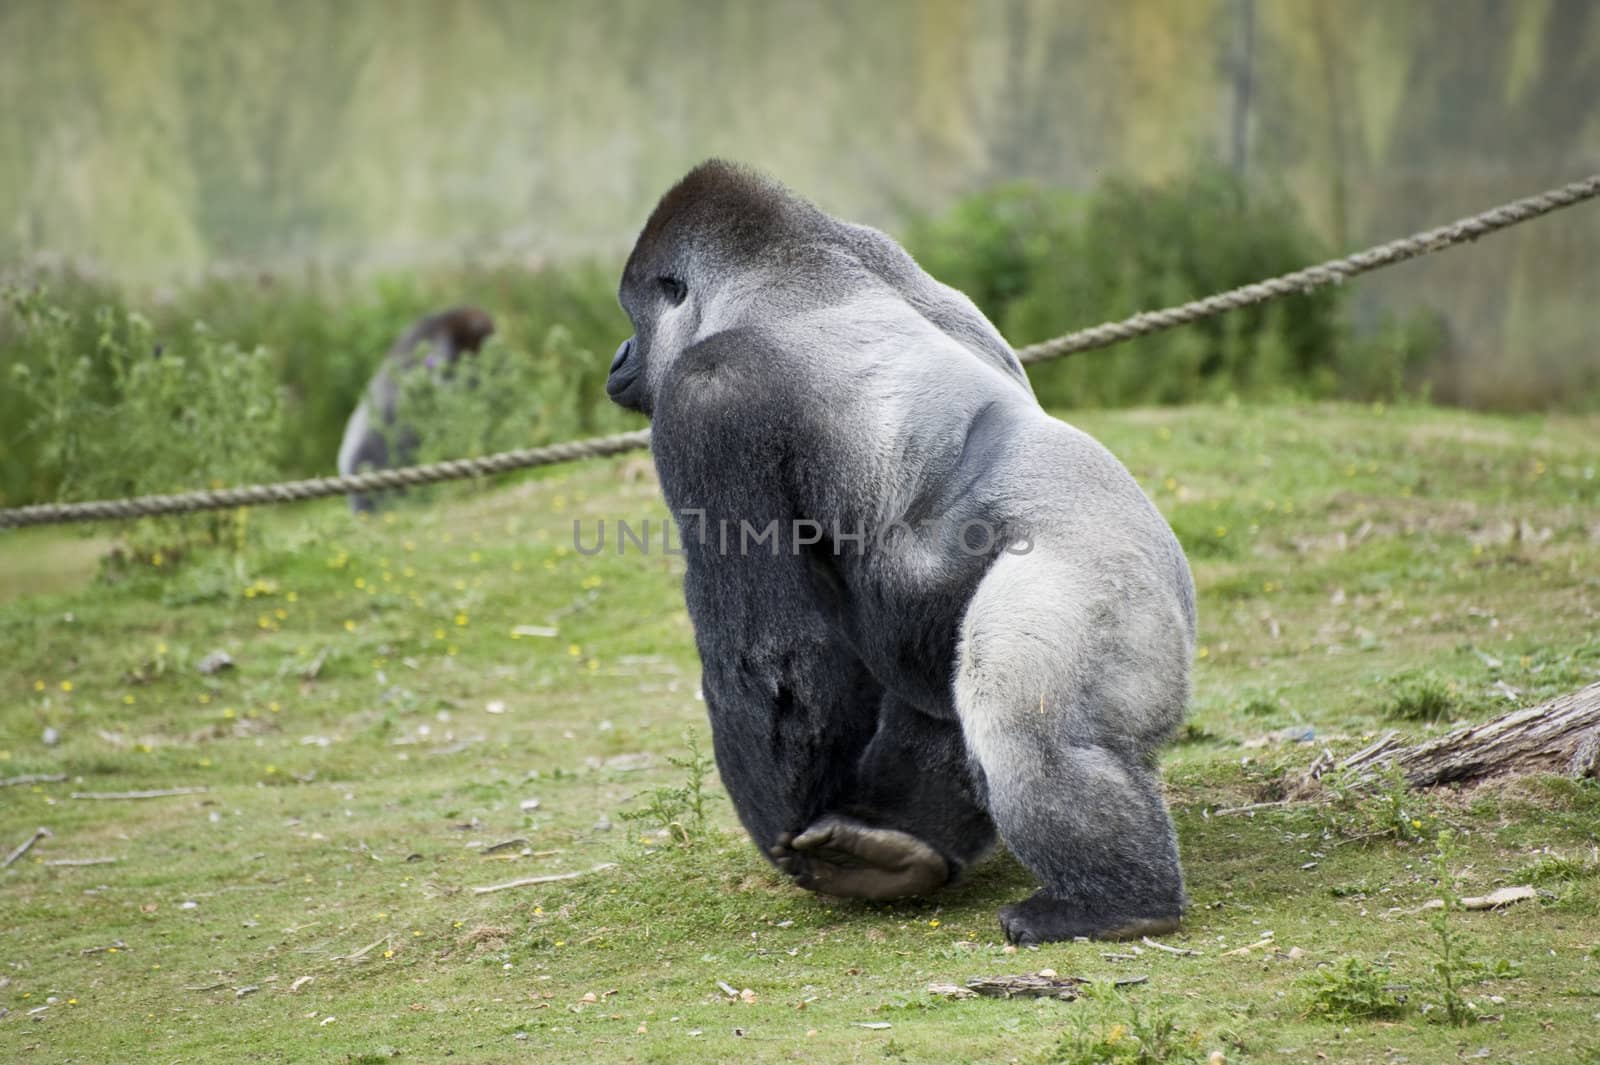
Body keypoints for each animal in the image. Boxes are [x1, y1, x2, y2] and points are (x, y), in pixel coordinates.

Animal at [604, 161, 1196, 940]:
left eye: (633, 318)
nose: (618, 357)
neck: (784, 270)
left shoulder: (707, 400)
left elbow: (770, 656)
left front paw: (780, 820)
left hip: (1104, 591)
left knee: (1020, 717)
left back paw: (1118, 902)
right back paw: (897, 846)